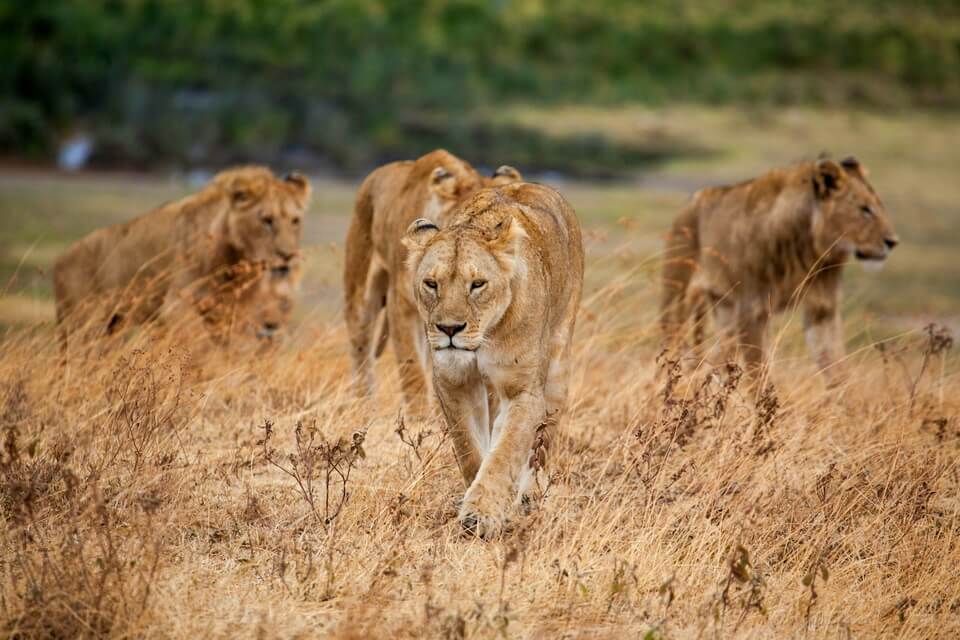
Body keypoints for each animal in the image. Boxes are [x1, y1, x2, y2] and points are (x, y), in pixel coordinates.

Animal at [51, 164, 312, 344]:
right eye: (266, 220)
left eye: (295, 221)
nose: (288, 255)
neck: (233, 262)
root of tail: (59, 259)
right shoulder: (177, 307)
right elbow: (198, 352)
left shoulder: (227, 313)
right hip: (83, 324)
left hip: (111, 324)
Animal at [344, 148, 524, 412]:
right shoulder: (402, 307)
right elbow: (413, 373)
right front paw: (420, 419)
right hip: (360, 293)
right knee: (361, 349)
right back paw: (363, 405)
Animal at [402, 181, 580, 536]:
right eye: (431, 284)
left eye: (477, 284)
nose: (449, 329)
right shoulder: (453, 381)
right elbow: (470, 448)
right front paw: (477, 497)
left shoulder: (524, 391)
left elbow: (505, 452)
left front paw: (481, 515)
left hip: (558, 367)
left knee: (542, 443)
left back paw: (529, 496)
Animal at [664, 156, 896, 380]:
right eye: (865, 210)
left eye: (879, 207)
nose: (893, 242)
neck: (811, 251)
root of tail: (691, 202)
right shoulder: (752, 310)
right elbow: (759, 375)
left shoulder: (823, 308)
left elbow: (836, 367)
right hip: (678, 298)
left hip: (725, 309)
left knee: (719, 357)